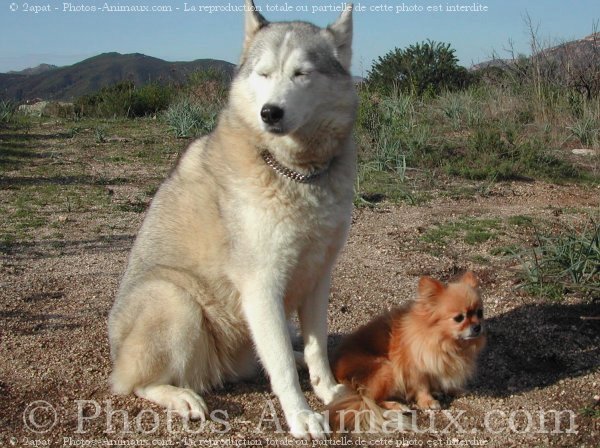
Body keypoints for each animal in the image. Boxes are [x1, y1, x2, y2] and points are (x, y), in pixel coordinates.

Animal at [109, 0, 356, 440]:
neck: (296, 174)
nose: (270, 112)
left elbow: (316, 348)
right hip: (176, 301)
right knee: (136, 383)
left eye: (301, 73)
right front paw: (301, 415)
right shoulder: (261, 285)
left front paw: (325, 389)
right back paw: (182, 397)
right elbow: (281, 368)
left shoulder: (317, 277)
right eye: (263, 73)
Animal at [328, 272, 488, 432]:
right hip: (387, 369)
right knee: (371, 400)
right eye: (459, 318)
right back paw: (396, 405)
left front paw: (451, 390)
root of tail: (339, 373)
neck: (445, 342)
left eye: (480, 313)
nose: (477, 327)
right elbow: (422, 386)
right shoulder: (414, 369)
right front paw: (427, 401)